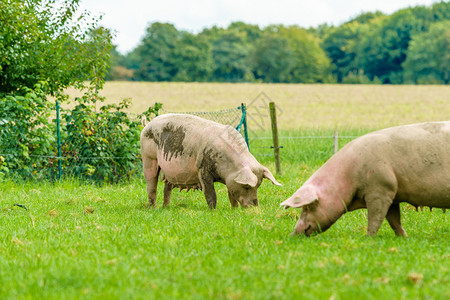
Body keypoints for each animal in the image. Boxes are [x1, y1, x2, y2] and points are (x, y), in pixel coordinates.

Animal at [141, 113, 282, 209]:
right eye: (247, 186)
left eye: (259, 185)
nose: (254, 206)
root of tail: (147, 124)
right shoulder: (202, 169)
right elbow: (210, 193)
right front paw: (213, 211)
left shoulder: (230, 179)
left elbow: (231, 194)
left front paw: (234, 209)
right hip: (148, 158)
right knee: (151, 185)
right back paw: (152, 208)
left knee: (167, 188)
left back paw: (166, 207)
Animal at [282, 122, 450, 237]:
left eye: (308, 207)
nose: (293, 234)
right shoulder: (392, 193)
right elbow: (394, 219)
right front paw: (403, 237)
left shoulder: (381, 188)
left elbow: (375, 217)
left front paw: (368, 237)